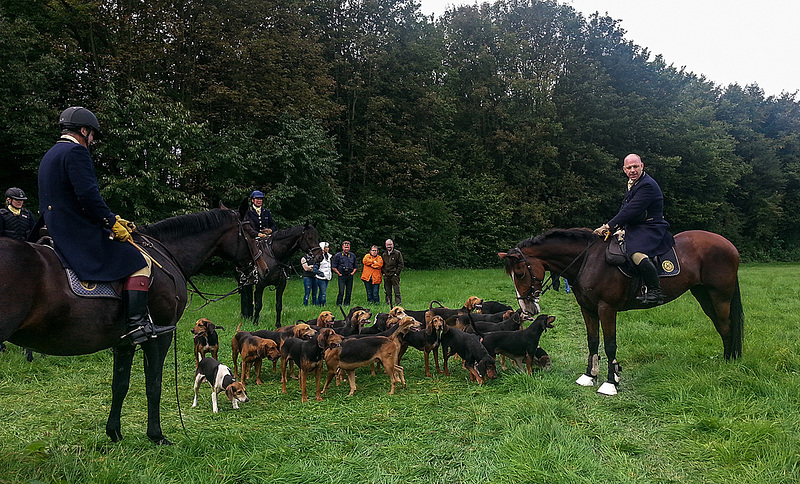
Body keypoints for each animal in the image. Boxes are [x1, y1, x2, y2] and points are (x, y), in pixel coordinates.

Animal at [0, 206, 268, 444]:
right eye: (251, 234)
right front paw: (156, 435)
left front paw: (114, 433)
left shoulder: (125, 342)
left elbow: (120, 385)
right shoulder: (159, 337)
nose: (263, 270)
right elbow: (154, 385)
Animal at [500, 229, 744, 396]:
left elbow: (610, 344)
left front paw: (610, 382)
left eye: (520, 274)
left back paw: (729, 363)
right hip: (704, 295)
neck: (588, 260)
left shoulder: (607, 309)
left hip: (720, 297)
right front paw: (589, 375)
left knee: (727, 326)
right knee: (721, 326)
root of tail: (729, 244)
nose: (527, 309)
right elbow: (592, 341)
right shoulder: (587, 309)